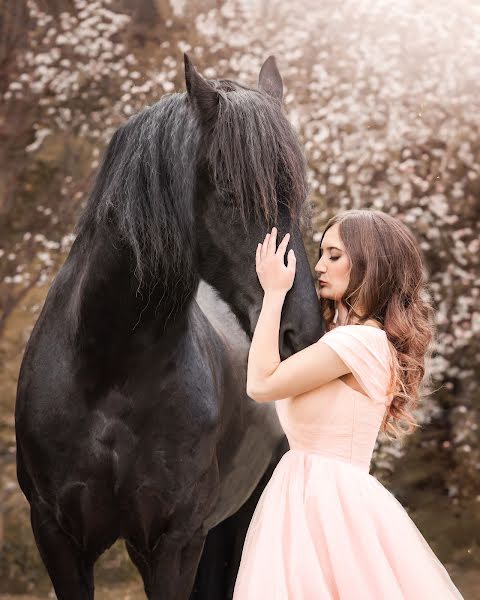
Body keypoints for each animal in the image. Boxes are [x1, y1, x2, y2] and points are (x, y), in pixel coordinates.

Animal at [15, 56, 324, 600]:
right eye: (231, 194)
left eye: (294, 200)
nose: (302, 335)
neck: (109, 372)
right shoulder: (57, 536)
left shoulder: (176, 542)